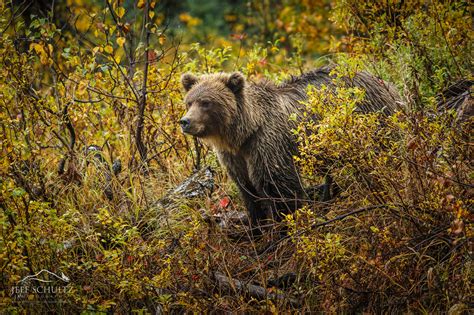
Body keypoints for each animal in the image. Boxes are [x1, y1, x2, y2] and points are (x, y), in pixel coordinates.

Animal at [180, 66, 402, 230]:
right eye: (189, 101)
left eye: (206, 102)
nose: (185, 121)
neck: (243, 133)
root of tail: (383, 81)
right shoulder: (234, 156)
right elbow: (248, 190)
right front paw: (256, 227)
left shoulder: (267, 143)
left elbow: (280, 186)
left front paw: (285, 225)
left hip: (371, 119)